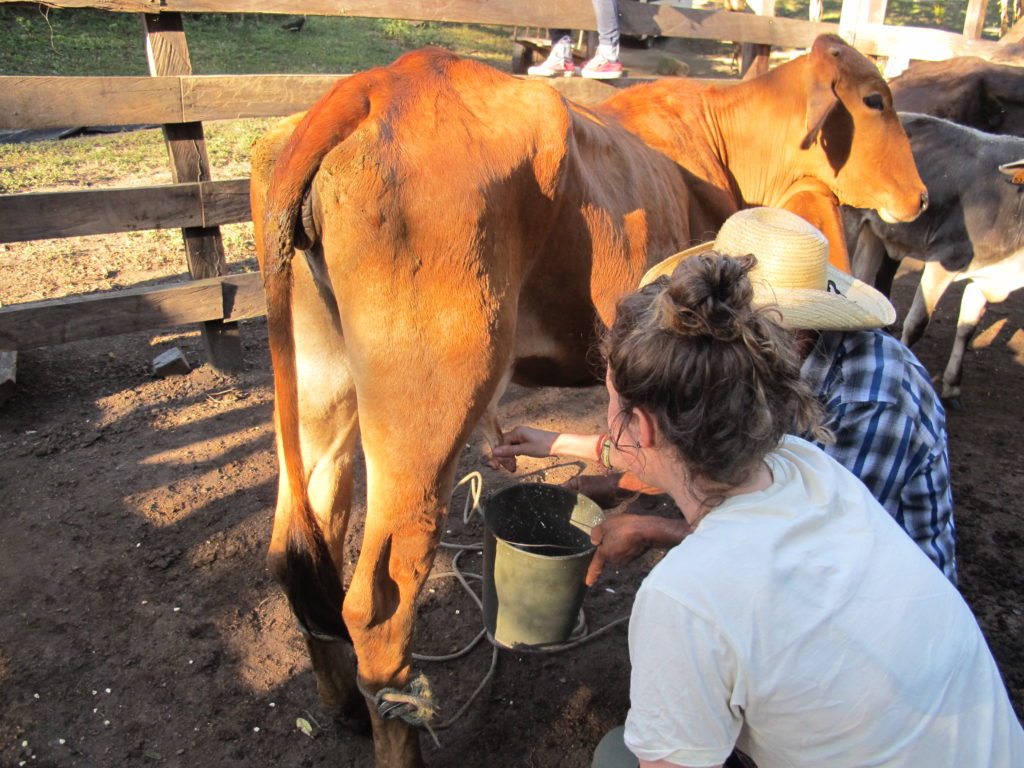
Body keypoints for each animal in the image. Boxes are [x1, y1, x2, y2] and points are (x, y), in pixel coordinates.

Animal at [249, 37, 929, 768]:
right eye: (875, 99)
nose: (919, 196)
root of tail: (380, 83)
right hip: (427, 411)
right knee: (377, 603)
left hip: (320, 385)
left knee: (298, 544)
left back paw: (344, 706)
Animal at [847, 112, 1024, 409]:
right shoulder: (944, 259)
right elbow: (918, 323)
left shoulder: (981, 276)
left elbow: (967, 329)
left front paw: (952, 386)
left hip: (874, 232)